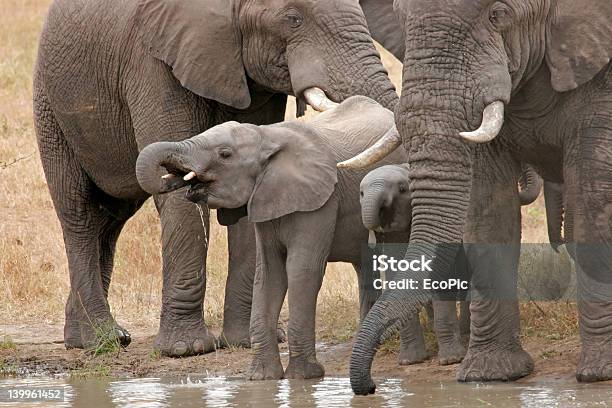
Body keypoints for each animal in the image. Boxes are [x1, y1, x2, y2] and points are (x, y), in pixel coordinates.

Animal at [33, 0, 400, 356]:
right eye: (293, 19)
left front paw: (246, 341)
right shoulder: (151, 64)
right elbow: (178, 201)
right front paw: (186, 349)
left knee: (110, 221)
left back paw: (86, 339)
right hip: (50, 110)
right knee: (80, 215)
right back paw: (102, 340)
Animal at [344, 0, 612, 396]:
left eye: (498, 14)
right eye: (402, 18)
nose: (370, 386)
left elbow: (592, 208)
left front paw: (599, 374)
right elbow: (489, 216)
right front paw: (489, 375)